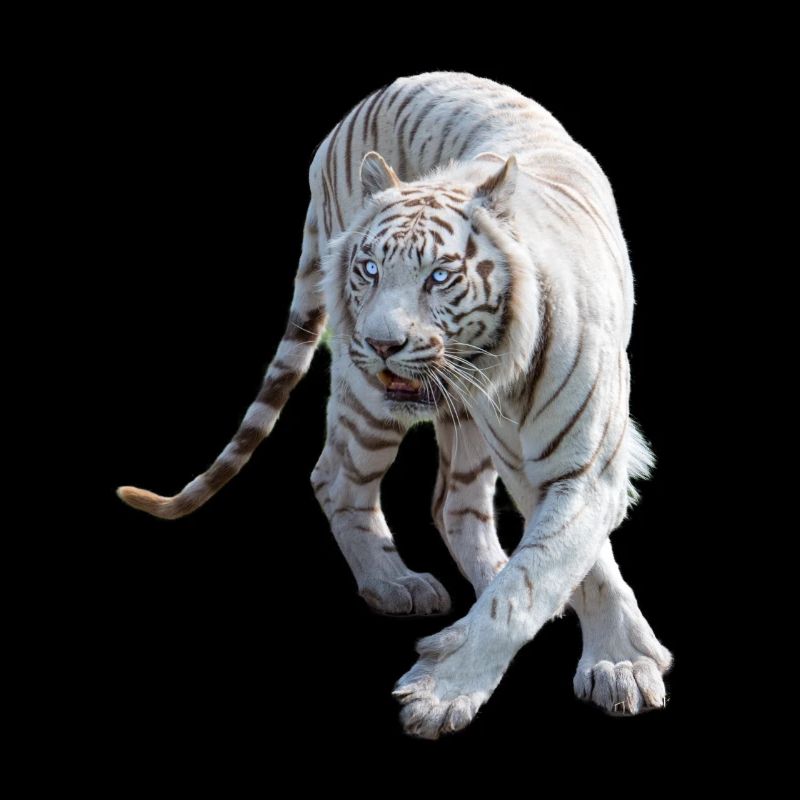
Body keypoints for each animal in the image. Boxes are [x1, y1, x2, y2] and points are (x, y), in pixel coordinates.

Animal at [117, 71, 673, 738]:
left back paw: (483, 571)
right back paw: (392, 583)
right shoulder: (540, 463)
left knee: (453, 506)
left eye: (440, 276)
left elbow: (543, 574)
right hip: (370, 403)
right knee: (335, 477)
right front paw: (448, 689)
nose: (382, 344)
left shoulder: (583, 466)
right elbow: (556, 572)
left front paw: (619, 663)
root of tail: (365, 102)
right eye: (369, 269)